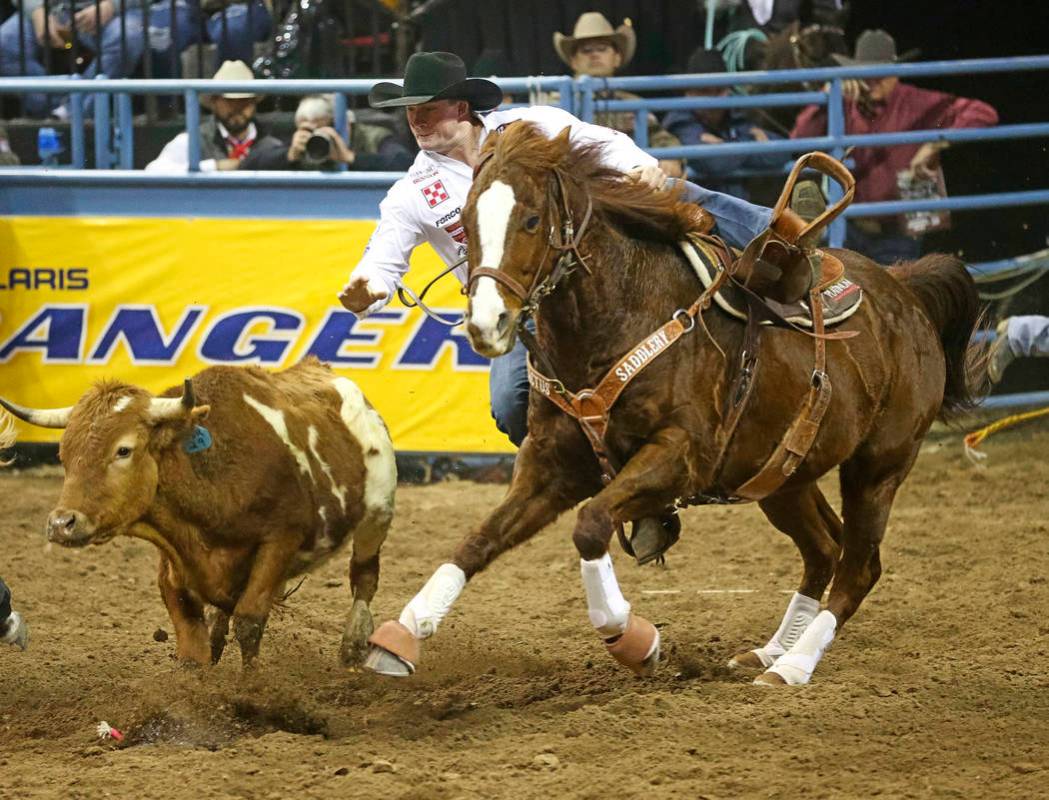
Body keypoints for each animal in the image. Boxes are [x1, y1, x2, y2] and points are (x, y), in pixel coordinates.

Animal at [362, 125, 981, 687]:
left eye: (533, 220)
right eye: (464, 222)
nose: (487, 324)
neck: (622, 316)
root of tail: (906, 290)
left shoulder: (681, 456)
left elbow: (590, 525)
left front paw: (630, 637)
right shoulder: (552, 466)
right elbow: (479, 539)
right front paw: (402, 632)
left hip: (879, 466)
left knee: (859, 565)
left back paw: (794, 666)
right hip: (781, 475)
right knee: (824, 549)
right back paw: (769, 652)